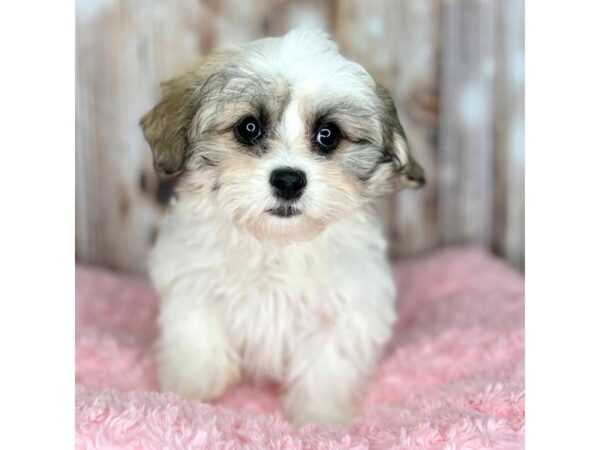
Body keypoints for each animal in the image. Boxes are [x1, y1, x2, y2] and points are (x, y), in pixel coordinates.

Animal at [140, 29, 424, 426]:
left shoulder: (346, 307)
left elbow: (327, 366)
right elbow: (197, 338)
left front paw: (320, 418)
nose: (289, 180)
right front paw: (190, 391)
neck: (275, 244)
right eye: (249, 128)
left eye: (328, 135)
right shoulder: (192, 283)